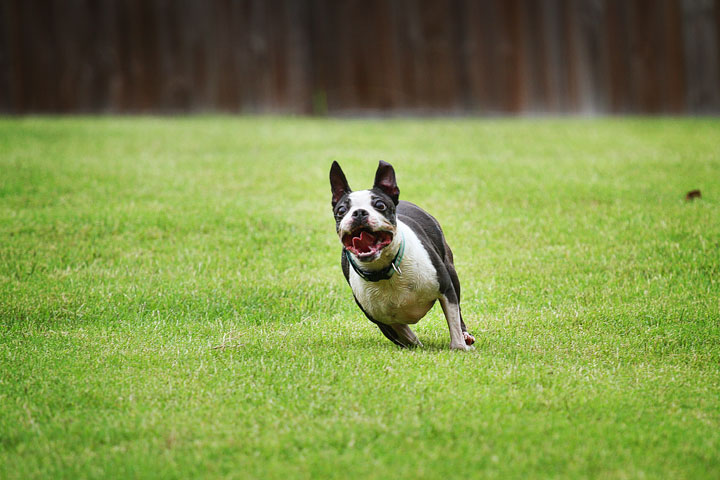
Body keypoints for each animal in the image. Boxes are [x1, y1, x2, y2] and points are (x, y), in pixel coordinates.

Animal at [330, 160, 476, 348]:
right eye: (341, 210)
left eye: (380, 205)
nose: (359, 212)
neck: (385, 269)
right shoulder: (379, 319)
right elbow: (406, 335)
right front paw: (417, 346)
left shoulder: (446, 288)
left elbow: (453, 321)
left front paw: (459, 347)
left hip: (450, 270)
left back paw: (466, 336)